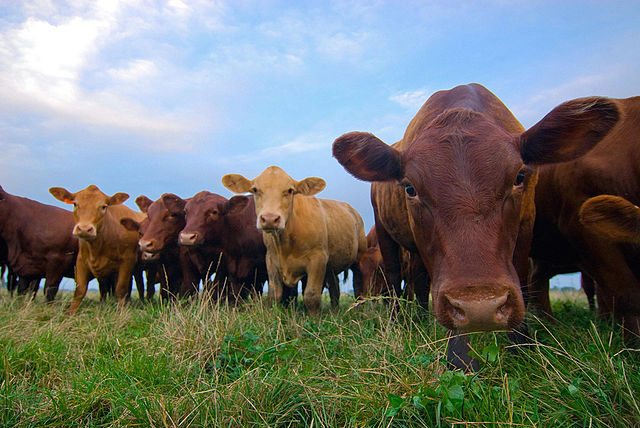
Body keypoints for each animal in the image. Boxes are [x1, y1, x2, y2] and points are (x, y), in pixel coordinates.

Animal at [49, 185, 147, 314]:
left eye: (103, 206)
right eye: (75, 204)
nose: (84, 229)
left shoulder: (128, 260)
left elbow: (121, 288)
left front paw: (120, 312)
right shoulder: (81, 261)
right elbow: (80, 290)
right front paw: (71, 312)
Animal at [224, 166, 364, 316]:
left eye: (290, 190)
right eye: (255, 189)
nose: (269, 218)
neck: (286, 243)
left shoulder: (318, 258)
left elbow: (311, 295)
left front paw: (314, 318)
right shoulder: (271, 259)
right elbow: (274, 294)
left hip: (360, 254)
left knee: (358, 282)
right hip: (331, 266)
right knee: (335, 286)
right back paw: (335, 310)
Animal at [332, 84, 616, 372]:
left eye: (519, 177)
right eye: (410, 188)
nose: (481, 308)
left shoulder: (526, 223)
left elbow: (521, 276)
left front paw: (520, 345)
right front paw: (460, 357)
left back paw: (421, 318)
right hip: (385, 232)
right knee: (394, 278)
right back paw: (399, 322)